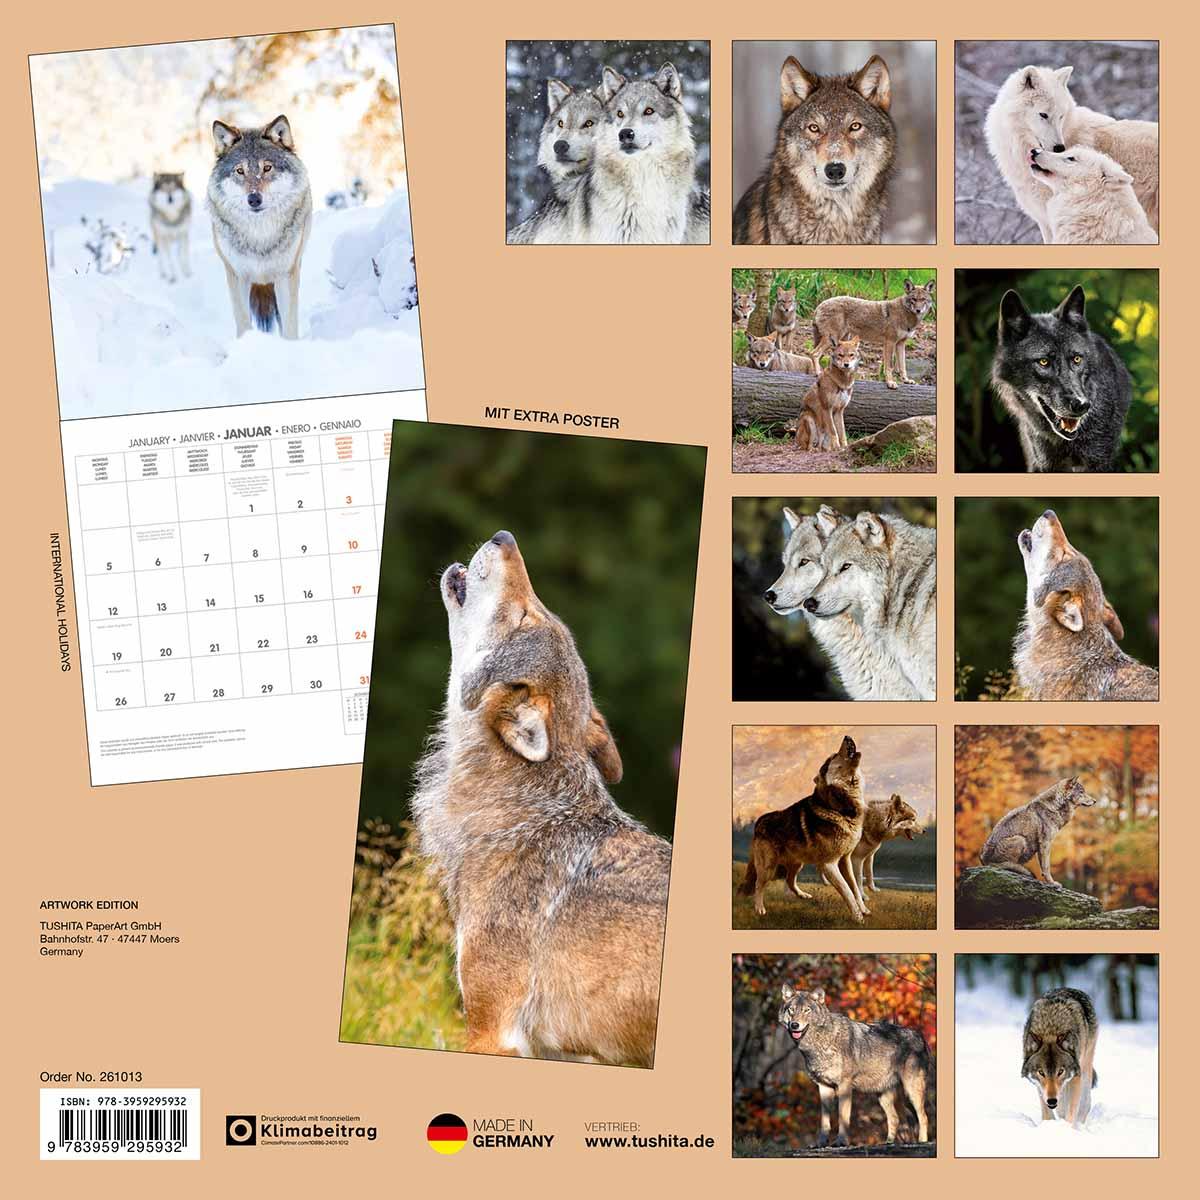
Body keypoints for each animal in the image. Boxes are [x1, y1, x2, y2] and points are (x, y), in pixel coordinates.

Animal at [207, 115, 312, 338]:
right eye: (240, 171)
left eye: (267, 168)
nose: (254, 199)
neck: (259, 236)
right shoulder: (237, 276)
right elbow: (243, 323)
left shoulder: (286, 274)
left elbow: (289, 325)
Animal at [738, 735, 868, 920]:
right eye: (833, 757)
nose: (847, 737)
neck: (840, 808)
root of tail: (759, 821)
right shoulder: (829, 865)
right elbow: (847, 891)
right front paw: (858, 918)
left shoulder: (845, 859)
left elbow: (855, 887)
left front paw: (864, 910)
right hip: (768, 868)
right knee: (758, 884)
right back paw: (759, 908)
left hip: (797, 863)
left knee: (790, 881)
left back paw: (803, 895)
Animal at [778, 984, 932, 1146]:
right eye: (791, 1010)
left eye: (807, 1010)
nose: (795, 1025)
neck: (819, 1044)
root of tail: (920, 1036)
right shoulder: (824, 1087)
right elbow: (824, 1121)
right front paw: (821, 1143)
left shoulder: (845, 1086)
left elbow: (843, 1118)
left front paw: (841, 1141)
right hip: (883, 1095)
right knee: (895, 1118)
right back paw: (888, 1142)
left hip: (911, 1091)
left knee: (923, 1117)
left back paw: (922, 1141)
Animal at [1023, 987, 1099, 1126]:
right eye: (1041, 1072)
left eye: (1061, 1071)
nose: (1052, 1101)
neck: (1050, 1029)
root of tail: (1070, 988)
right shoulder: (1040, 1086)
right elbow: (1047, 1114)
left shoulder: (1076, 1076)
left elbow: (1071, 1112)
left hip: (1086, 1065)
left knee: (1085, 1102)